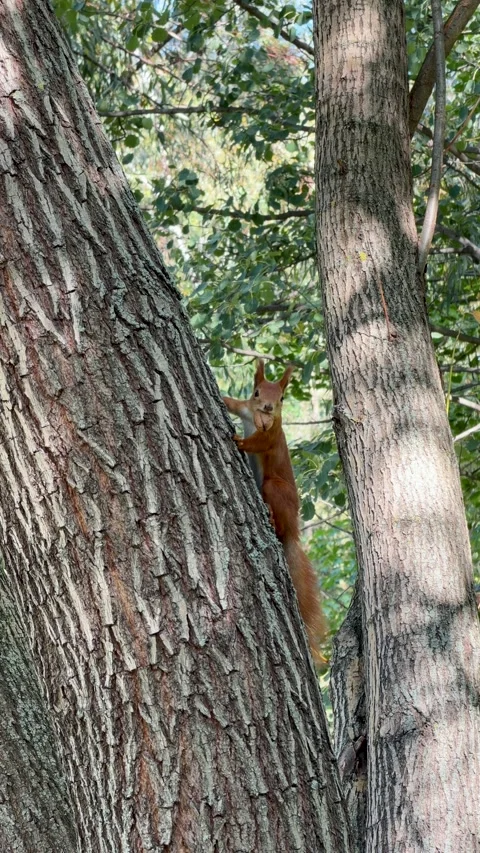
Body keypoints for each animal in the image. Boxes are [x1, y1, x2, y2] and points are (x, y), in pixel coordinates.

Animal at [224, 359, 327, 666]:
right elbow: (232, 403)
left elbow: (258, 443)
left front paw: (239, 441)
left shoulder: (271, 435)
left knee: (279, 522)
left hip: (274, 488)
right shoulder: (244, 408)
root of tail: (294, 529)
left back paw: (271, 517)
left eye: (281, 398)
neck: (258, 419)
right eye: (257, 392)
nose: (269, 408)